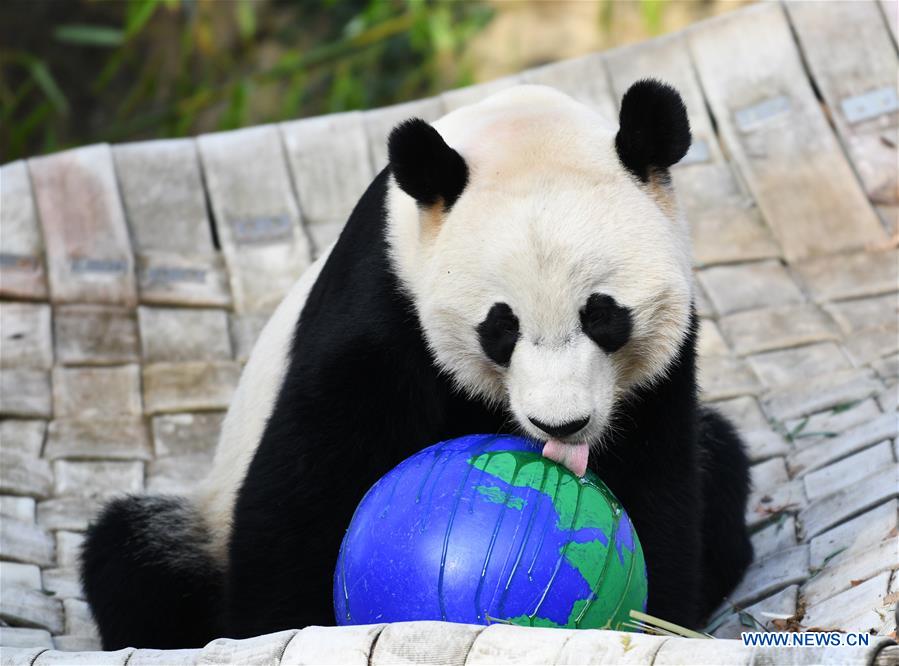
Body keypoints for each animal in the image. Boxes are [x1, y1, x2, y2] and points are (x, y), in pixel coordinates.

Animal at [81, 80, 753, 649]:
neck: (520, 128)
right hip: (202, 521)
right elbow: (306, 479)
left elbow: (658, 484)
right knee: (134, 558)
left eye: (603, 316)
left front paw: (657, 619)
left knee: (721, 460)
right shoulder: (382, 303)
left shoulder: (664, 367)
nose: (560, 425)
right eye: (500, 328)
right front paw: (281, 629)